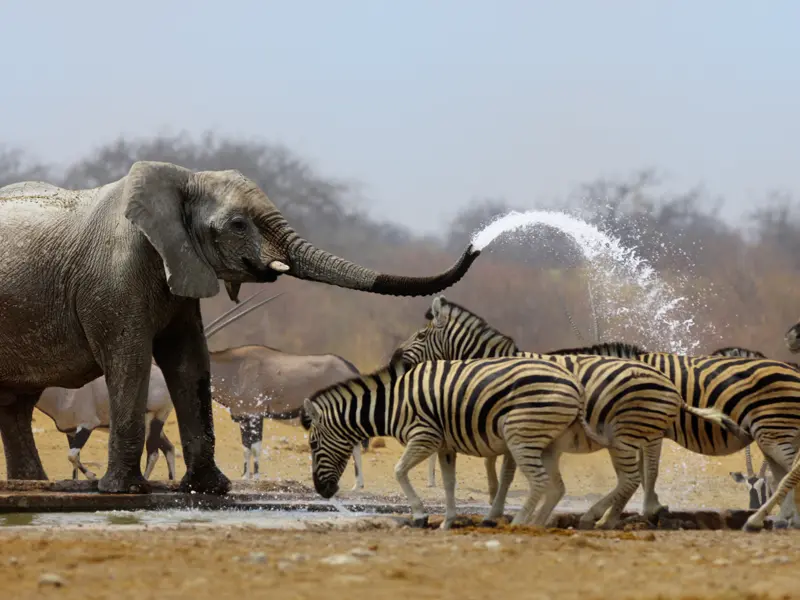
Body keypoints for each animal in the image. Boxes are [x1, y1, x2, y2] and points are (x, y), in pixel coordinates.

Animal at [0, 159, 478, 492]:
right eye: (237, 224)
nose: (475, 245)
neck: (182, 180)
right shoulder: (113, 280)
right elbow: (130, 361)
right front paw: (122, 491)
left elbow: (189, 363)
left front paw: (212, 489)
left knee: (18, 404)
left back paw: (33, 484)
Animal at [300, 356, 588, 528]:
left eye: (313, 445)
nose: (322, 492)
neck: (393, 403)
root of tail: (574, 382)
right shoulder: (445, 445)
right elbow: (449, 483)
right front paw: (447, 522)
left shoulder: (424, 436)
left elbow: (399, 471)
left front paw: (420, 515)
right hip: (546, 442)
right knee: (554, 486)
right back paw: (534, 523)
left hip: (521, 435)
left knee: (539, 482)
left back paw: (518, 523)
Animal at [394, 298, 724, 524]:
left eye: (421, 336)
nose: (395, 358)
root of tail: (668, 384)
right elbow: (496, 466)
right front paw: (494, 503)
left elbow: (506, 472)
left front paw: (495, 511)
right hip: (643, 432)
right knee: (646, 471)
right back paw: (641, 510)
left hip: (631, 431)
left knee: (641, 472)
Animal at [548, 342, 800, 528]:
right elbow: (640, 473)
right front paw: (650, 508)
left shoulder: (649, 430)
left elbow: (647, 472)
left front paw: (648, 510)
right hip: (773, 435)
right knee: (782, 475)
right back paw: (783, 520)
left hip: (774, 431)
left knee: (790, 471)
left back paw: (767, 520)